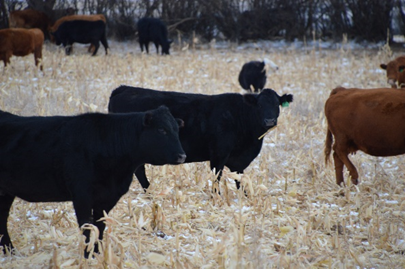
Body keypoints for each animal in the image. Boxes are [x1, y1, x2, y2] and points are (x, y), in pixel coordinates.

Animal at [0, 105, 185, 256]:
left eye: (177, 129)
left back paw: (10, 251)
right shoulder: (82, 195)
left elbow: (99, 227)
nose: (182, 155)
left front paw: (96, 253)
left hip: (6, 192)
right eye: (161, 130)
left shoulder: (107, 197)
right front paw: (87, 255)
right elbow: (87, 227)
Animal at [107, 85, 290, 192]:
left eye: (277, 105)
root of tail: (123, 88)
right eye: (259, 105)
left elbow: (240, 179)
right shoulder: (219, 153)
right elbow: (216, 177)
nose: (269, 121)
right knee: (139, 171)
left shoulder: (238, 160)